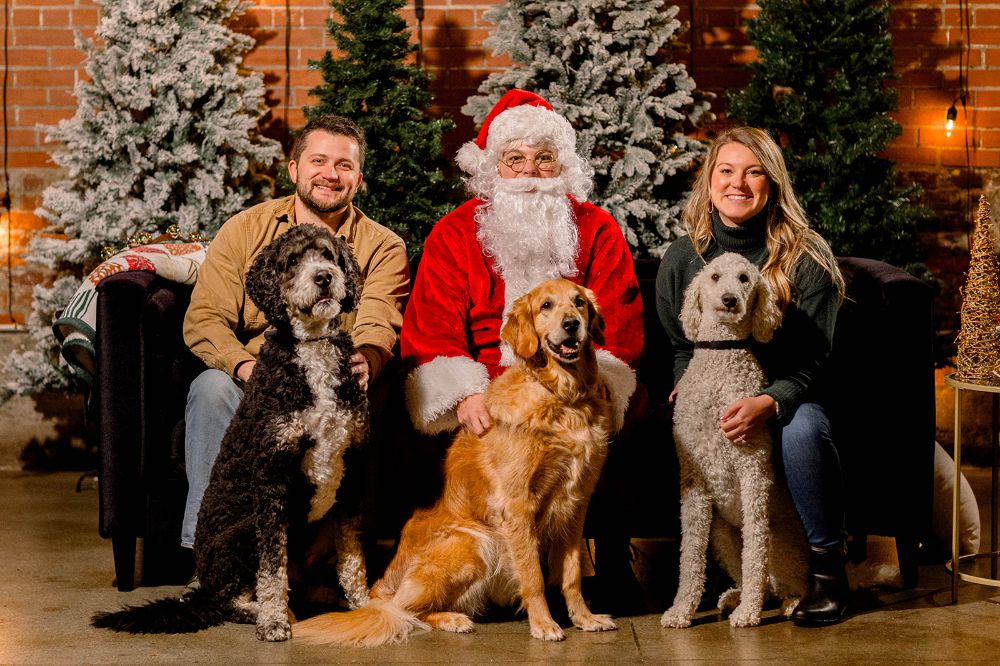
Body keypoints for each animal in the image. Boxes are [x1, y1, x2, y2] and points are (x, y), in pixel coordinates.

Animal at [94, 223, 372, 640]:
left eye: (327, 254)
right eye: (293, 261)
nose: (324, 277)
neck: (312, 351)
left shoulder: (351, 470)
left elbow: (353, 554)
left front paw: (365, 604)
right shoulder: (272, 482)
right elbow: (272, 568)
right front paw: (273, 621)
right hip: (242, 534)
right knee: (229, 598)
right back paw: (266, 611)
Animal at [660, 250, 808, 628]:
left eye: (744, 278)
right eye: (714, 276)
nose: (730, 300)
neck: (721, 355)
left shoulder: (751, 468)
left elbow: (754, 549)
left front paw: (749, 614)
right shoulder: (692, 477)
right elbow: (690, 554)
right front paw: (681, 611)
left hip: (780, 540)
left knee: (782, 578)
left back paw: (786, 603)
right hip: (723, 535)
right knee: (762, 580)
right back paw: (735, 596)